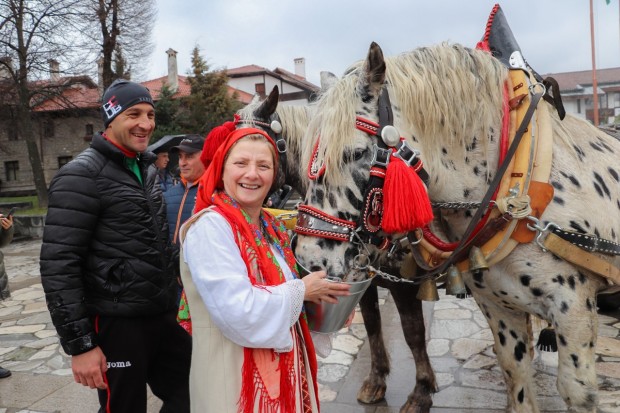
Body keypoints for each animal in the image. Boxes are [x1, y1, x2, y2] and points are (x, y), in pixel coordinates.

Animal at [235, 81, 438, 412]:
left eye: (258, 145)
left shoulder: (402, 282)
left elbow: (413, 332)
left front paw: (421, 391)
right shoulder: (361, 280)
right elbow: (372, 324)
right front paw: (376, 380)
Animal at [294, 32, 620, 412]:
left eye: (356, 153)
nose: (307, 258)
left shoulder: (575, 310)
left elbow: (577, 391)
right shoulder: (498, 306)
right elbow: (516, 377)